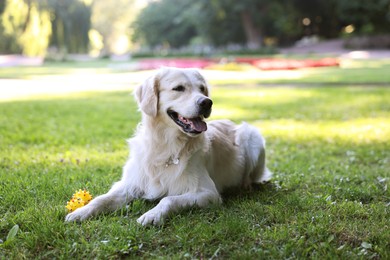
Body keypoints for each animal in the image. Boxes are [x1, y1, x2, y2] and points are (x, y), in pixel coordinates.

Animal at [64, 67, 272, 225]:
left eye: (202, 88)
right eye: (178, 88)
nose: (207, 102)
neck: (165, 146)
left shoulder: (207, 193)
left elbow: (168, 199)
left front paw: (152, 215)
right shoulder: (129, 185)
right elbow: (101, 199)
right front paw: (80, 212)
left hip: (251, 135)